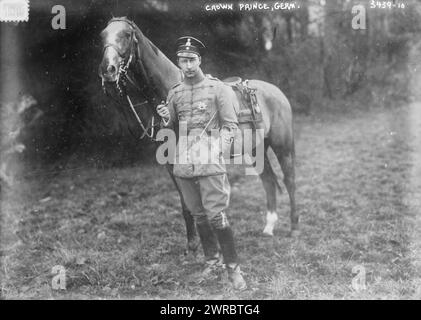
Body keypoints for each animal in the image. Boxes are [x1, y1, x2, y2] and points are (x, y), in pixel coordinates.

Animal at [97, 16, 298, 252]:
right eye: (102, 35)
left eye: (127, 35)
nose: (108, 70)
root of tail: (277, 92)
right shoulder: (171, 165)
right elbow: (186, 203)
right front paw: (193, 245)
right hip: (257, 149)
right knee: (269, 180)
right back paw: (269, 227)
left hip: (283, 148)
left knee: (289, 181)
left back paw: (294, 228)